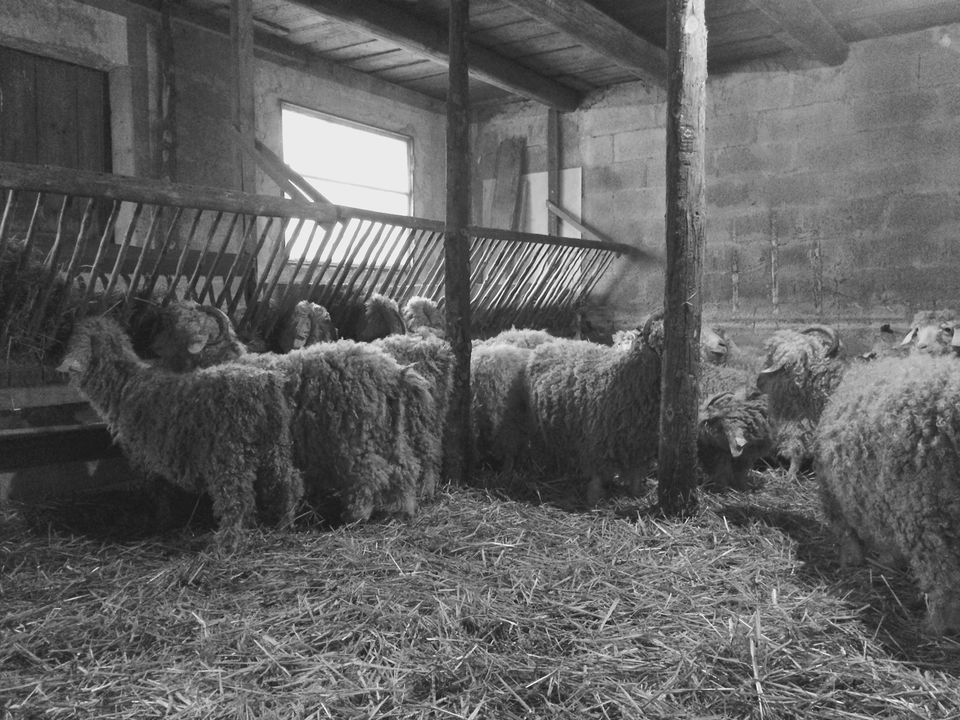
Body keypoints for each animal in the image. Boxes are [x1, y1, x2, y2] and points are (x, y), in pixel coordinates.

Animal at [57, 316, 304, 540]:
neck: (125, 385)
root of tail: (267, 383)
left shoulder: (146, 457)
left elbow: (159, 492)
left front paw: (161, 521)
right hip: (275, 444)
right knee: (288, 481)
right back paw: (285, 525)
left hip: (230, 451)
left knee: (236, 497)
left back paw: (226, 544)